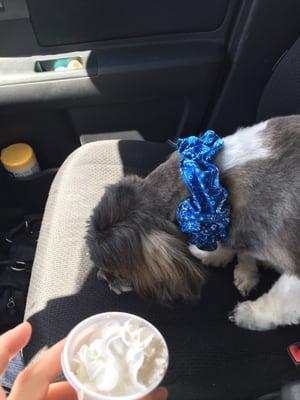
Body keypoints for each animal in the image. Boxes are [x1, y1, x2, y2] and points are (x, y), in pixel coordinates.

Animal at [86, 115, 300, 332]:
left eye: (114, 271)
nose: (101, 278)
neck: (208, 181)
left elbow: (280, 301)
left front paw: (250, 315)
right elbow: (241, 250)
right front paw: (232, 265)